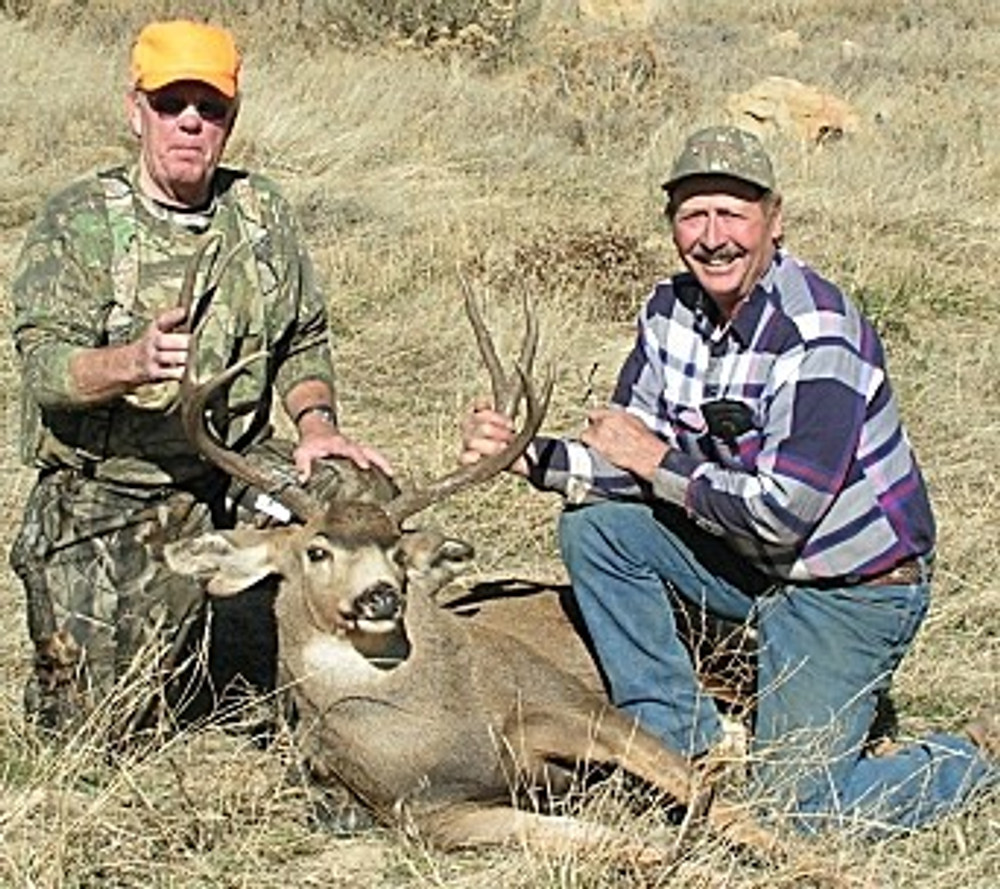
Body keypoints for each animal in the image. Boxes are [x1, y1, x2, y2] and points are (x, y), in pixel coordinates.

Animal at [162, 282, 780, 860]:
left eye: (396, 550)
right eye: (317, 551)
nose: (380, 597)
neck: (436, 728)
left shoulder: (568, 699)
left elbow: (700, 789)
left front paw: (799, 857)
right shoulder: (432, 815)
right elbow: (605, 841)